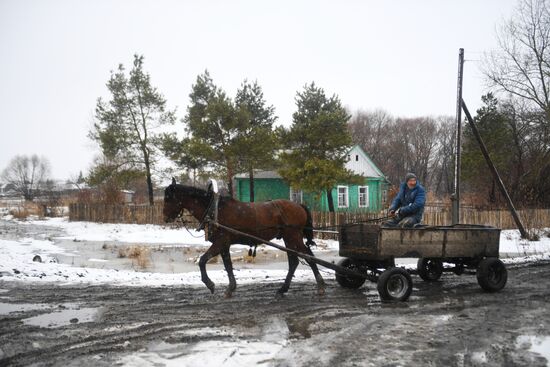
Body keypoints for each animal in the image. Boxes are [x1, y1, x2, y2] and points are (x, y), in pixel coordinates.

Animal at [164, 182, 328, 300]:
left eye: (169, 197)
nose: (165, 217)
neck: (215, 210)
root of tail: (299, 205)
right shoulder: (224, 244)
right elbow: (228, 265)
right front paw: (230, 288)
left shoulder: (220, 242)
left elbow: (202, 260)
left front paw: (210, 284)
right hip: (289, 239)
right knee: (294, 261)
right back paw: (283, 289)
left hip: (293, 237)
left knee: (308, 257)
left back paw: (320, 286)